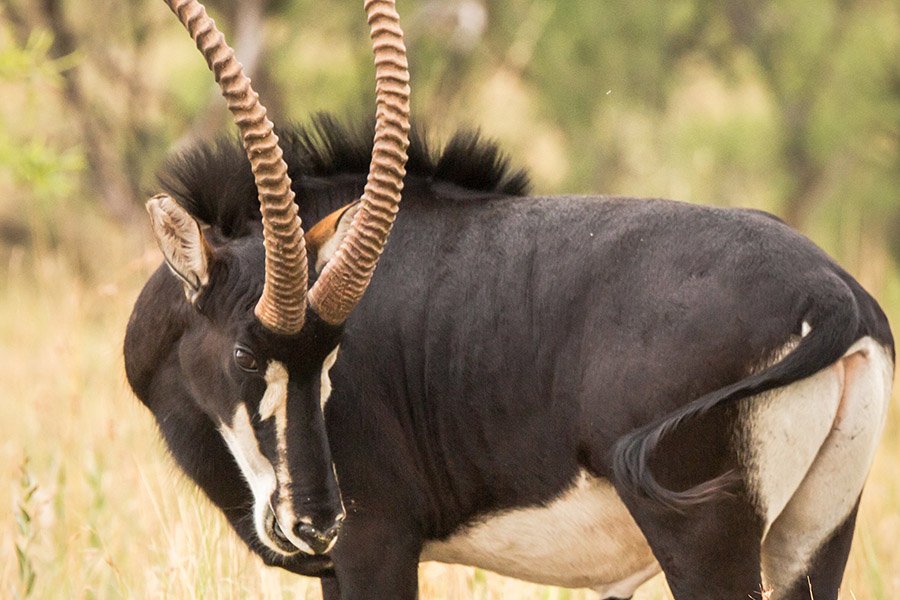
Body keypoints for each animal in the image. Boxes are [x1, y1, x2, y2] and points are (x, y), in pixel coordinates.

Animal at [123, 1, 896, 600]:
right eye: (247, 352)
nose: (314, 522)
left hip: (704, 536)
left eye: (332, 354)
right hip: (813, 537)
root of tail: (835, 294)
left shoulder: (374, 542)